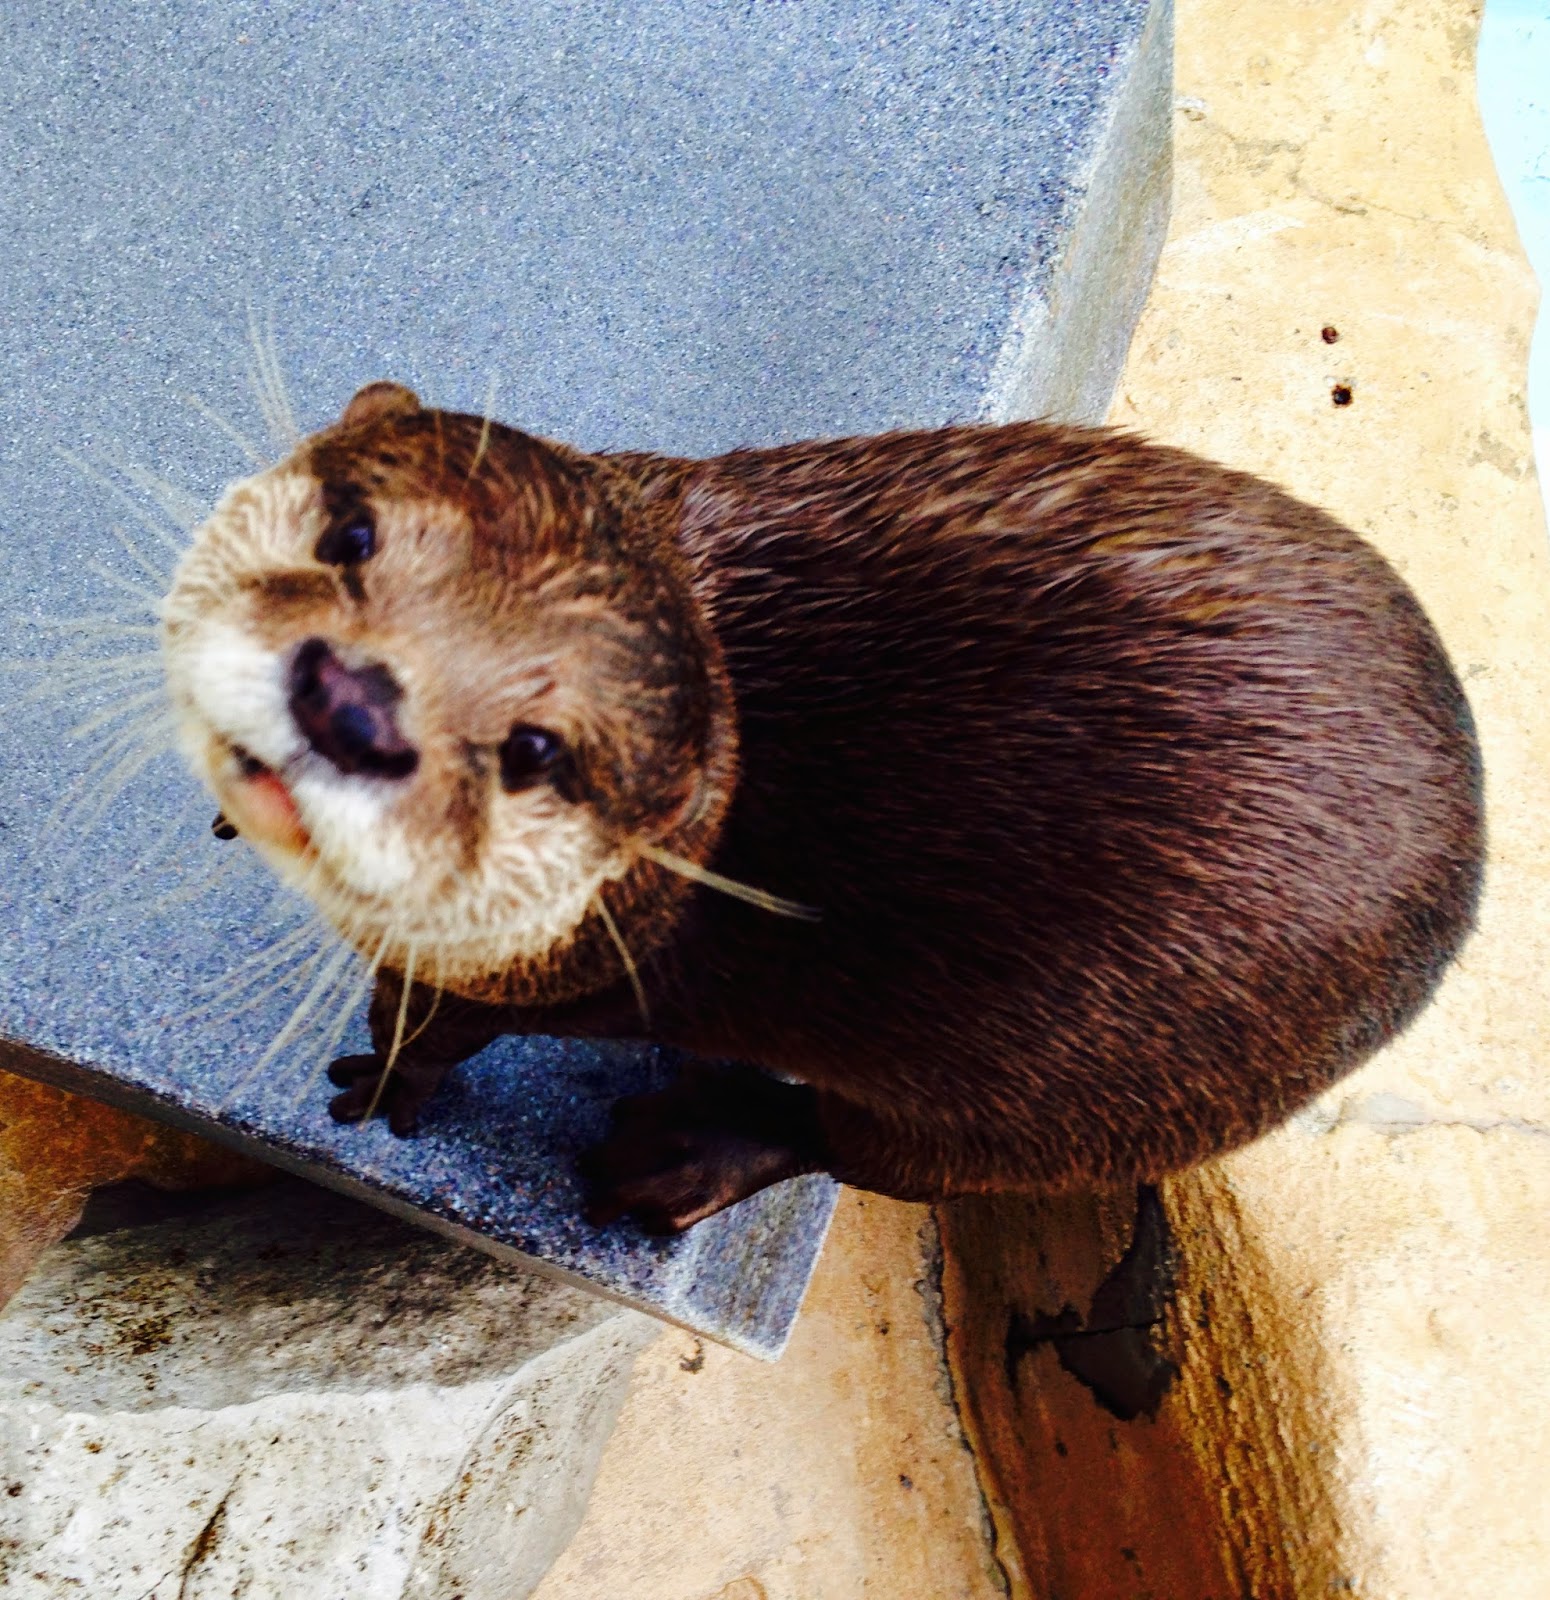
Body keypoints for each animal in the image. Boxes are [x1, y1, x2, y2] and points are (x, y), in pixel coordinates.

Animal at [161, 382, 1484, 1234]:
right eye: (350, 532)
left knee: (861, 1155)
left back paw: (673, 1155)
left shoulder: (550, 961)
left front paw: (378, 1086)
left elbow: (430, 1027)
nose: (346, 701)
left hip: (1085, 1102)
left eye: (534, 748)